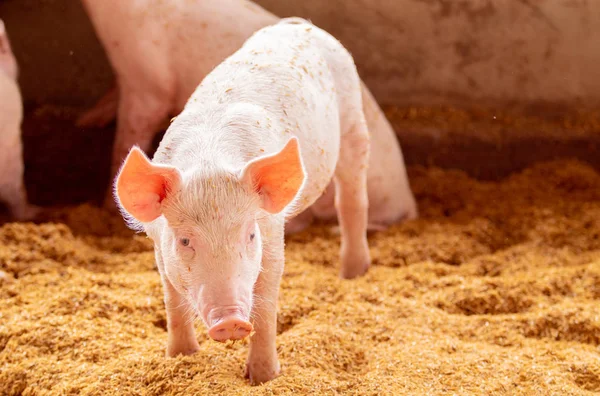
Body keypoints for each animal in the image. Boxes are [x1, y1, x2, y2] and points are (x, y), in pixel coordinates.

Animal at [115, 17, 372, 384]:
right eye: (184, 241)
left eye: (250, 235)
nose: (231, 321)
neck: (209, 162)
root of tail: (299, 23)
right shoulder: (159, 249)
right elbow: (173, 302)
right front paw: (180, 356)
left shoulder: (272, 232)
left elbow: (265, 304)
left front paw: (263, 377)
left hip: (353, 121)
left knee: (352, 197)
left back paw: (351, 274)